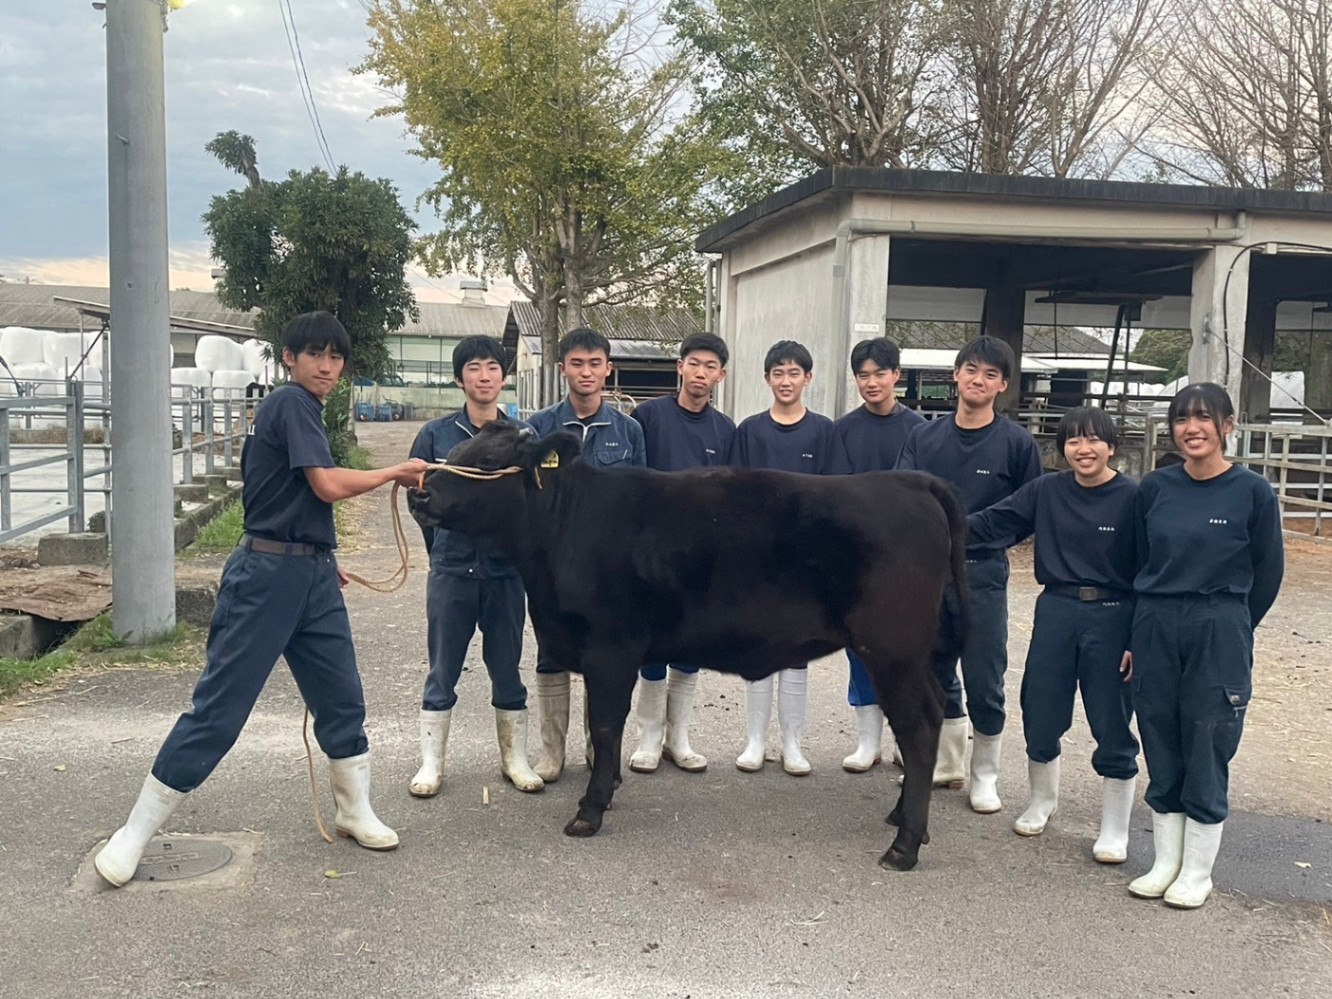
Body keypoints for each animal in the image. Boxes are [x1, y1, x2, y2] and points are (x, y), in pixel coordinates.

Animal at [406, 421, 968, 871]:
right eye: (457, 449)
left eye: (488, 462)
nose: (419, 493)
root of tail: (910, 482)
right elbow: (601, 724)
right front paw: (609, 790)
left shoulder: (611, 645)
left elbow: (605, 725)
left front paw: (590, 810)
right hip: (910, 654)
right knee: (930, 713)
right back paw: (899, 815)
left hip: (892, 648)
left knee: (918, 726)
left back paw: (905, 845)